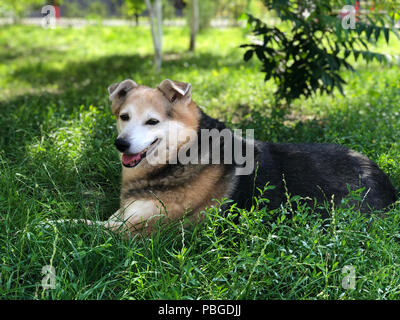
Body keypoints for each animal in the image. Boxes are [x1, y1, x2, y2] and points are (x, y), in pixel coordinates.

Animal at [47, 79, 396, 236]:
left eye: (152, 122)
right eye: (124, 117)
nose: (121, 144)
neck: (179, 156)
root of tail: (386, 182)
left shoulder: (130, 230)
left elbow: (76, 223)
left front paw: (46, 222)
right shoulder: (120, 215)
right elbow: (87, 207)